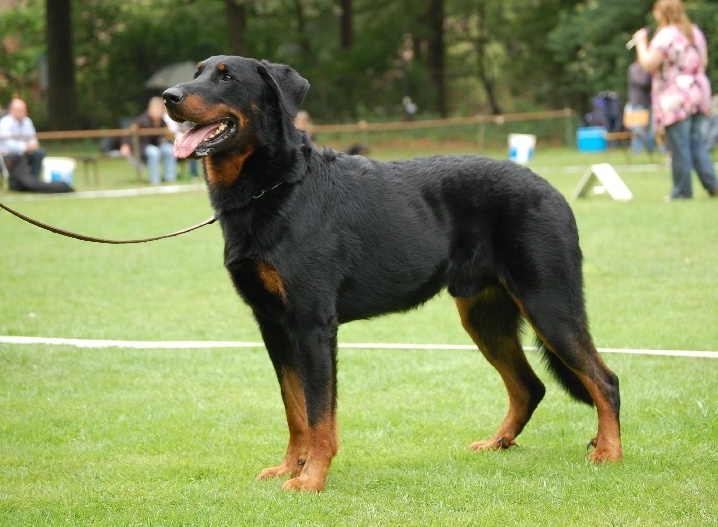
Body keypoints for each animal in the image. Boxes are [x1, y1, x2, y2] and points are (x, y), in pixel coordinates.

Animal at [162, 55, 620, 492]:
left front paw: (311, 479)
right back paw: (498, 442)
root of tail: (552, 191)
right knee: (530, 386)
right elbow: (295, 411)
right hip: (484, 317)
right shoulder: (273, 325)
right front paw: (290, 468)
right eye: (198, 72)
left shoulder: (312, 324)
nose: (169, 97)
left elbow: (319, 415)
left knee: (605, 380)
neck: (274, 187)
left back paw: (609, 452)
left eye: (226, 77)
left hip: (548, 304)